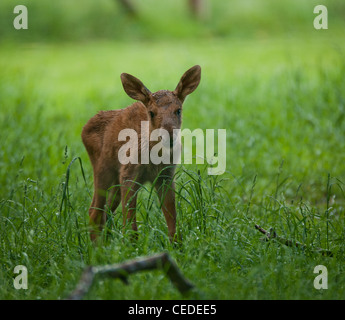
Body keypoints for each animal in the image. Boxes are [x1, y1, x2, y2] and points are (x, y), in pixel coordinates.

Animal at [81, 65, 200, 241]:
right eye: (151, 112)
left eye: (178, 110)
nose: (169, 135)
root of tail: (84, 128)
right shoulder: (129, 173)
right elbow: (130, 224)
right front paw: (132, 245)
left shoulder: (166, 175)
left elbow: (172, 221)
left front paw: (176, 244)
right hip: (103, 169)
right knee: (95, 211)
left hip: (115, 178)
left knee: (105, 211)